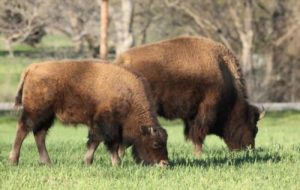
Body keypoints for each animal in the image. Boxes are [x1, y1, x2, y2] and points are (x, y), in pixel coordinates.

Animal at [8, 59, 169, 166]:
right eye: (155, 144)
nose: (164, 163)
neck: (128, 95)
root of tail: (32, 68)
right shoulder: (107, 124)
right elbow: (108, 143)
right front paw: (116, 163)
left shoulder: (100, 125)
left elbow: (95, 142)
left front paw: (87, 162)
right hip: (36, 112)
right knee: (23, 130)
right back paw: (13, 161)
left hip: (48, 116)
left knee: (39, 134)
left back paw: (47, 162)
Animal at [116, 36, 264, 157]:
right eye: (254, 128)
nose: (249, 149)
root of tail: (122, 62)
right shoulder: (203, 113)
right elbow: (198, 135)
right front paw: (199, 155)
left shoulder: (191, 116)